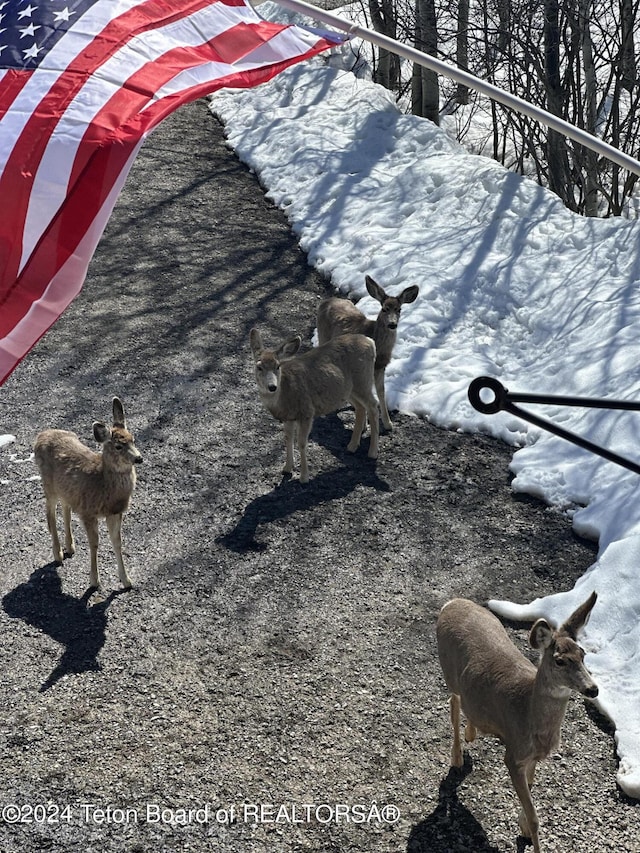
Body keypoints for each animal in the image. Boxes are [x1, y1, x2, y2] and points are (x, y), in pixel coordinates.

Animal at [33, 398, 142, 584]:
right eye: (118, 446)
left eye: (133, 439)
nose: (139, 458)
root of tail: (40, 436)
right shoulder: (88, 512)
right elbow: (94, 544)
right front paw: (94, 581)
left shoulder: (115, 512)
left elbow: (117, 542)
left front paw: (126, 580)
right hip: (48, 485)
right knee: (50, 512)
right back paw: (58, 554)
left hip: (67, 490)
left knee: (65, 507)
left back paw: (70, 546)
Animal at [249, 326, 380, 482]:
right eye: (259, 367)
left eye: (278, 366)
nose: (272, 386)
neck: (284, 396)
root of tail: (370, 342)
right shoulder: (288, 417)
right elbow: (288, 439)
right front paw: (287, 468)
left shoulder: (306, 411)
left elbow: (301, 442)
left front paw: (304, 477)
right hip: (349, 390)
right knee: (360, 407)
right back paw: (352, 446)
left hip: (363, 380)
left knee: (373, 405)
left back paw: (373, 452)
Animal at [316, 274, 420, 430]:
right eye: (384, 308)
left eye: (399, 309)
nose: (392, 324)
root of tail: (325, 301)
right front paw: (365, 424)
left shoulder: (381, 366)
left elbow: (381, 391)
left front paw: (388, 423)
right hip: (322, 336)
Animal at [438, 592, 596, 852]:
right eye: (560, 661)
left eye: (583, 655)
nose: (593, 689)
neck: (529, 713)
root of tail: (451, 603)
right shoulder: (513, 755)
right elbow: (535, 818)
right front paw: (532, 838)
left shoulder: (533, 757)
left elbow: (530, 792)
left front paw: (522, 828)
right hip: (449, 672)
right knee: (453, 704)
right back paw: (457, 758)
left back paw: (472, 734)